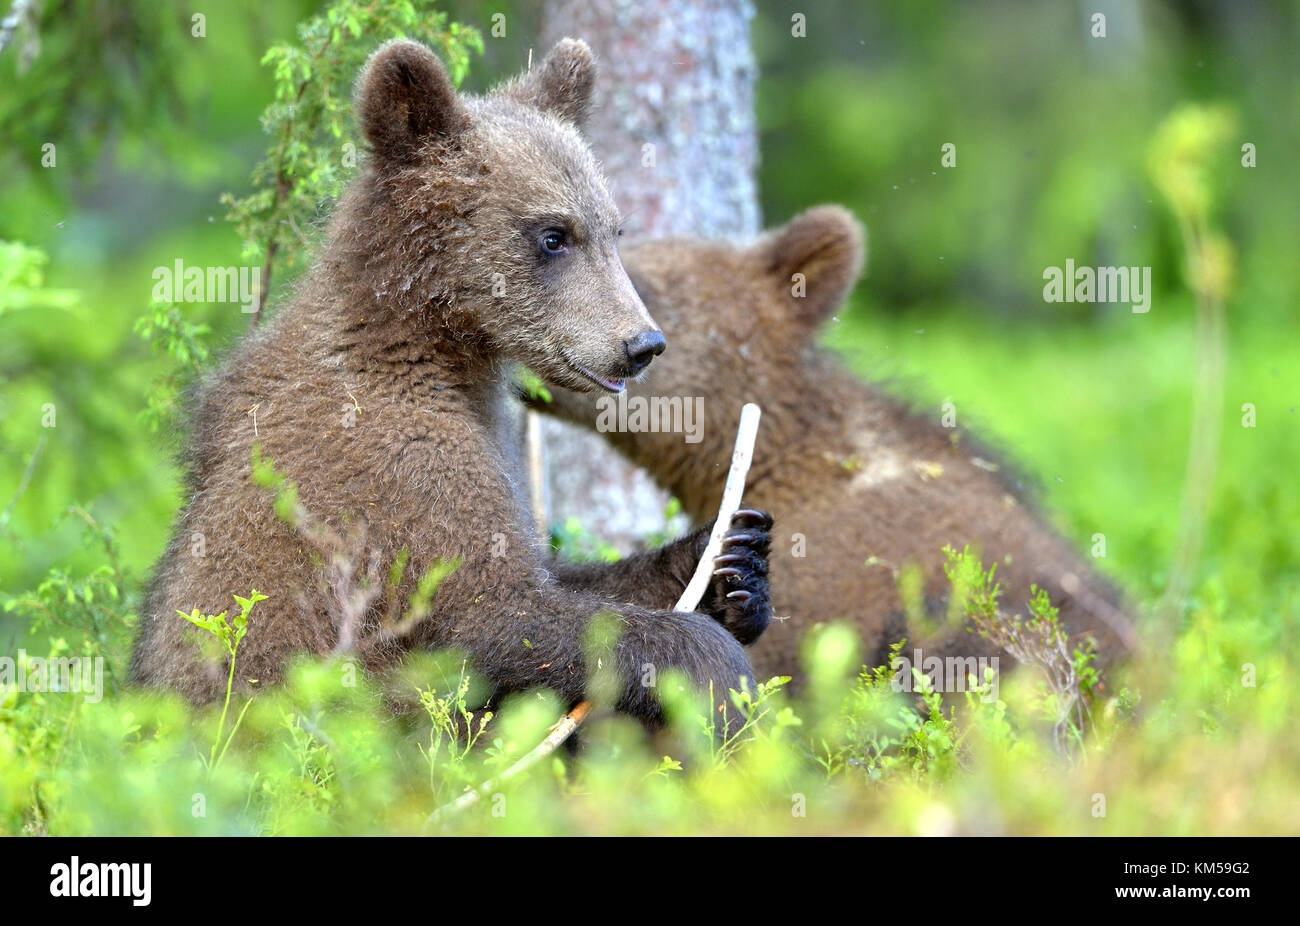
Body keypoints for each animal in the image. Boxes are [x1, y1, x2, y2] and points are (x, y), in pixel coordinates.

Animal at [129, 38, 774, 731]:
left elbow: (560, 574)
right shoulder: (396, 462)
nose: (642, 344)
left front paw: (732, 563)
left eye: (612, 229)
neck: (437, 347)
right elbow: (498, 610)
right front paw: (717, 665)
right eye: (554, 235)